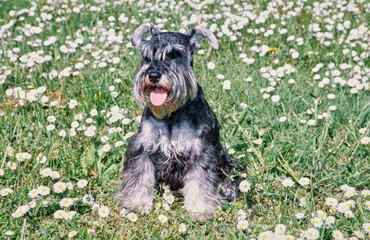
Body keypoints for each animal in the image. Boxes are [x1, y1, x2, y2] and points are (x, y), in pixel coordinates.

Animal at [115, 23, 237, 221]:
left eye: (175, 54)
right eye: (147, 55)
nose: (154, 75)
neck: (171, 114)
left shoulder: (201, 152)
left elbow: (200, 182)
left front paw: (200, 209)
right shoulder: (142, 147)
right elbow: (139, 175)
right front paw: (136, 203)